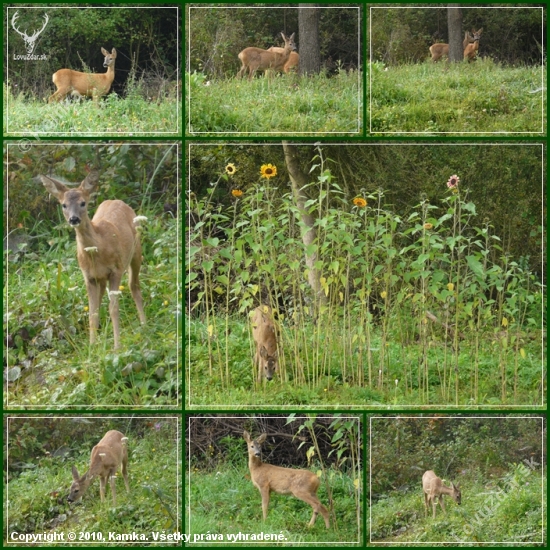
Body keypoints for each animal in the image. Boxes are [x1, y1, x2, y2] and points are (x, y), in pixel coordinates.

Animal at [41, 169, 147, 350]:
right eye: (64, 205)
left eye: (83, 203)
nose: (74, 219)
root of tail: (117, 200)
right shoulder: (89, 277)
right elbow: (93, 312)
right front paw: (92, 347)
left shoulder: (116, 270)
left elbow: (113, 308)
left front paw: (117, 347)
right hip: (101, 279)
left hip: (136, 252)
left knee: (134, 286)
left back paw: (144, 324)